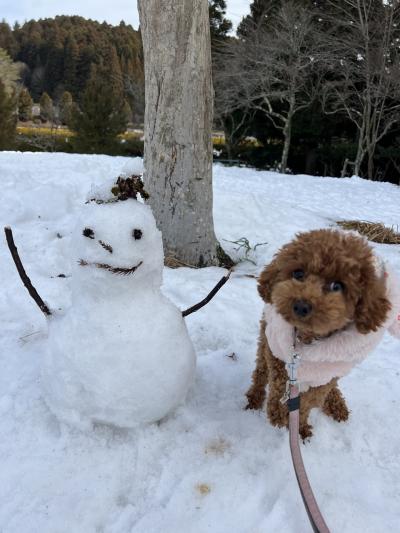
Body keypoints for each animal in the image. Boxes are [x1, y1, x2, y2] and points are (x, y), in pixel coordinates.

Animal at [245, 229, 392, 436]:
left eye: (337, 286)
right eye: (298, 273)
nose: (301, 305)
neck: (307, 341)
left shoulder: (326, 375)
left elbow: (310, 401)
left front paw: (300, 426)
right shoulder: (279, 359)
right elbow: (278, 383)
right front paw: (278, 413)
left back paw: (336, 405)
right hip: (266, 337)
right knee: (260, 371)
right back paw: (254, 398)